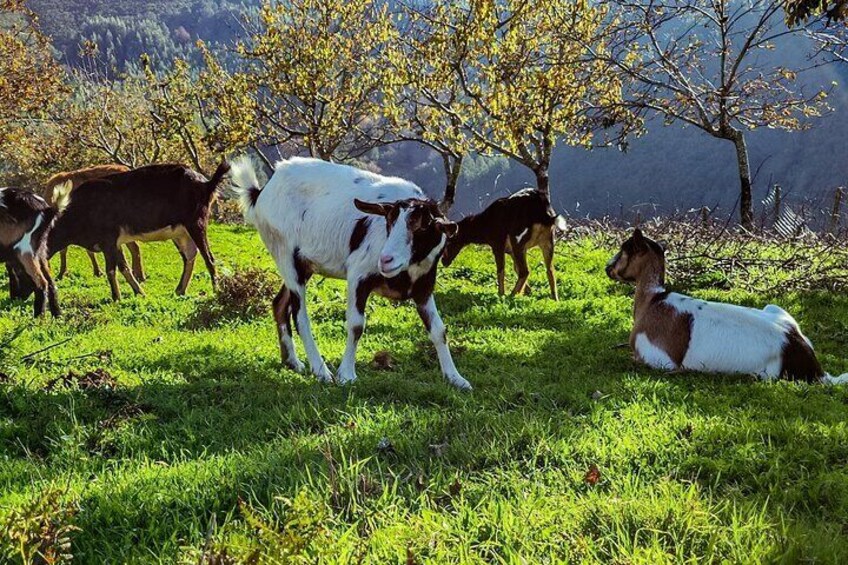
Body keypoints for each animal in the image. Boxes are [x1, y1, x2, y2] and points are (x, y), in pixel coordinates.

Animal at [0, 187, 60, 316]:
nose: (16, 298)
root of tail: (47, 209)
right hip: (39, 250)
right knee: (50, 281)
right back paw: (57, 315)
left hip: (24, 250)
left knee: (42, 283)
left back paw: (38, 318)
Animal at [48, 161, 229, 302]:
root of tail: (205, 183)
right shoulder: (114, 244)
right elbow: (124, 268)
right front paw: (140, 293)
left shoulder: (108, 240)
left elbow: (111, 270)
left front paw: (116, 297)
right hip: (180, 232)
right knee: (189, 256)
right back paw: (180, 290)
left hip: (196, 223)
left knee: (209, 258)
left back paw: (216, 291)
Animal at [230, 156, 470, 390]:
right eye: (389, 222)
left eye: (422, 226)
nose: (386, 260)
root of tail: (261, 192)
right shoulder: (359, 274)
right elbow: (356, 325)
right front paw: (346, 374)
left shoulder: (424, 286)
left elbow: (438, 329)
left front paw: (455, 378)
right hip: (285, 253)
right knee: (299, 315)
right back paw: (321, 371)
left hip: (303, 264)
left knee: (279, 304)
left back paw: (293, 362)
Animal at [440, 187, 568, 300]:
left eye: (449, 241)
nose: (444, 261)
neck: (484, 224)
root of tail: (545, 214)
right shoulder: (511, 251)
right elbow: (515, 268)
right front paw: (528, 291)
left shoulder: (498, 244)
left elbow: (501, 269)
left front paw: (501, 294)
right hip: (548, 241)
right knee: (549, 269)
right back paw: (555, 298)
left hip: (517, 240)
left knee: (525, 271)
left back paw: (511, 295)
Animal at [608, 229, 848, 384]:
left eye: (624, 250)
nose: (607, 268)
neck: (653, 301)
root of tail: (815, 368)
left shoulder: (658, 357)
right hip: (776, 309)